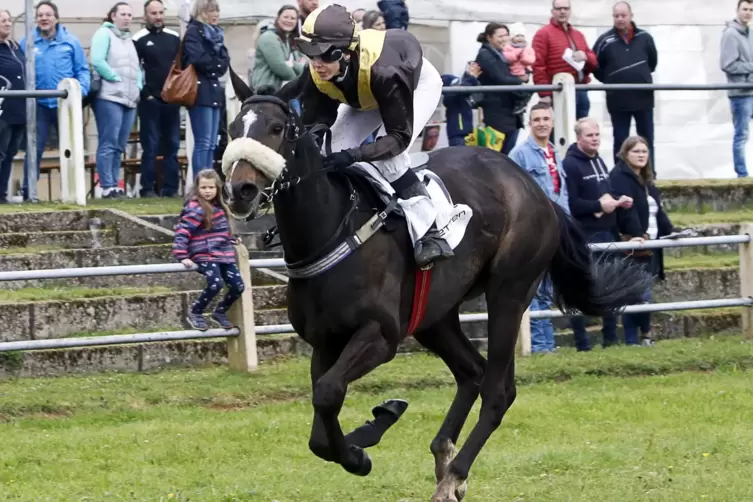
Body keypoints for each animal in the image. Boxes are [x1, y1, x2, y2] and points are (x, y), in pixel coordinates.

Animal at [220, 72, 648, 500]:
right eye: (233, 128)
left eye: (277, 128)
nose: (239, 191)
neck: (330, 230)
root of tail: (540, 193)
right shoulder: (326, 342)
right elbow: (321, 425)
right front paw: (368, 433)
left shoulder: (380, 335)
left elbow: (327, 394)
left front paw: (362, 450)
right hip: (435, 316)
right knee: (471, 372)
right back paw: (443, 454)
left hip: (508, 292)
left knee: (497, 390)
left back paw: (453, 475)